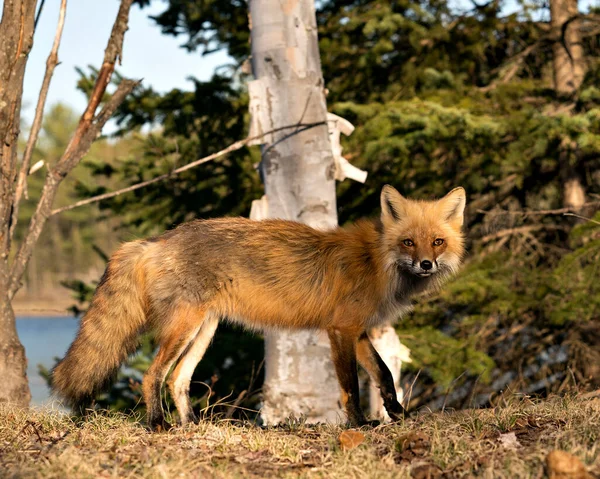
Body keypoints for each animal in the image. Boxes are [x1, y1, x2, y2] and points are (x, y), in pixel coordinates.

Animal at [51, 186, 466, 430]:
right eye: (409, 242)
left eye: (437, 242)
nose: (426, 265)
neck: (376, 261)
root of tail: (157, 239)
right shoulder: (341, 330)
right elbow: (350, 385)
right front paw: (359, 425)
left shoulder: (359, 331)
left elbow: (384, 375)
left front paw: (398, 414)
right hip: (184, 327)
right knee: (152, 374)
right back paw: (157, 425)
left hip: (204, 330)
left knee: (177, 379)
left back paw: (192, 426)